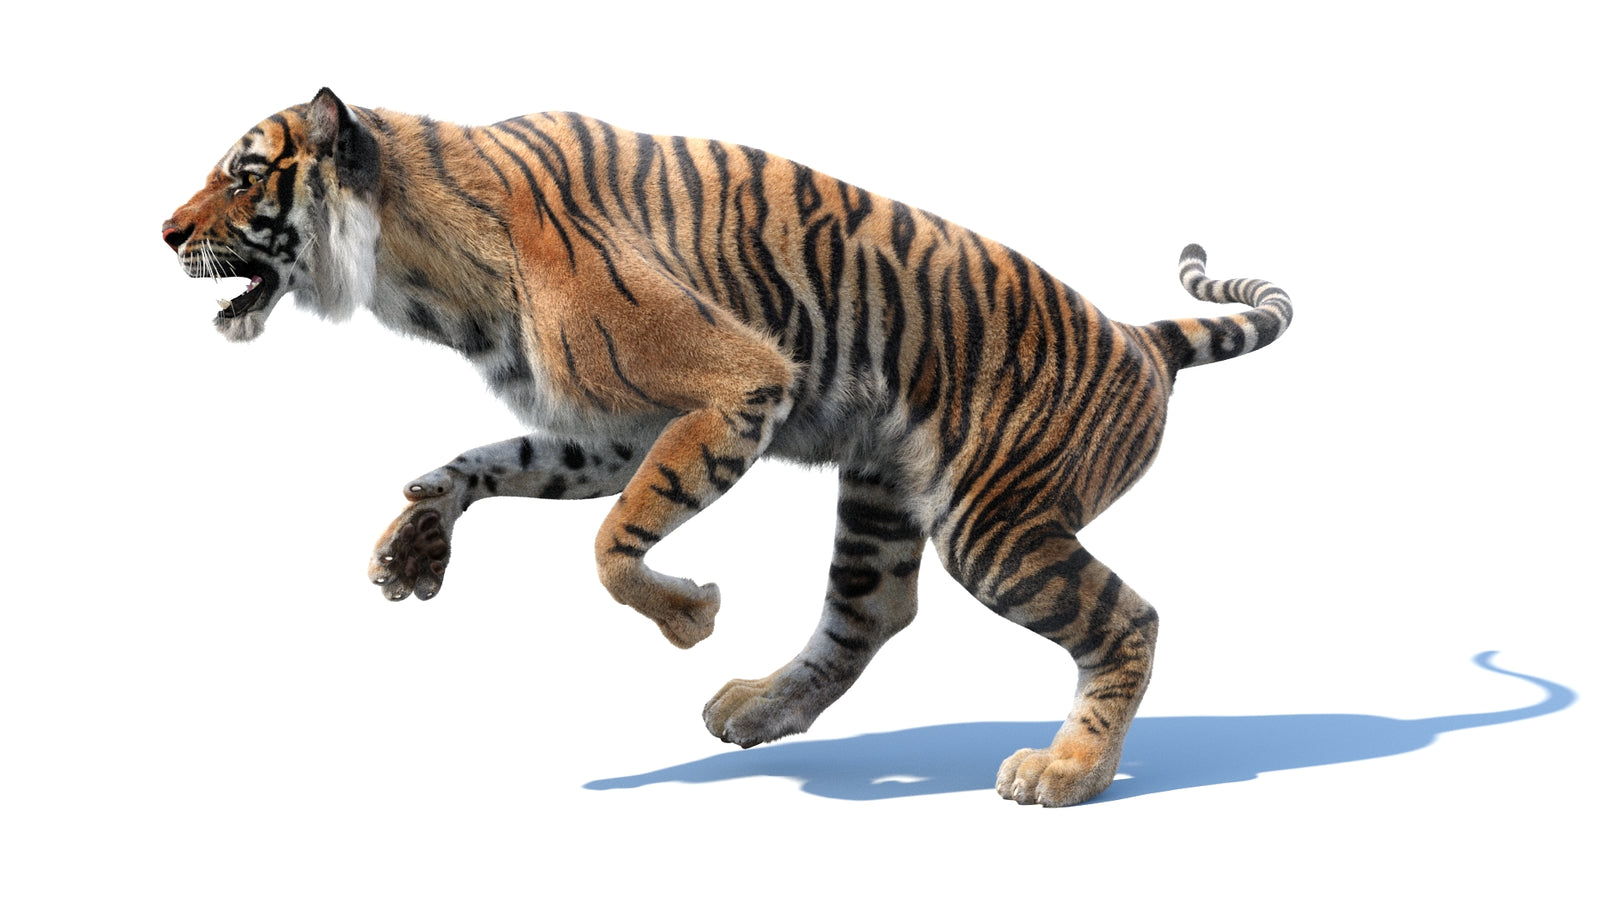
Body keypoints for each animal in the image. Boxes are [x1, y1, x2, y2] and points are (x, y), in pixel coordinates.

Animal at [163, 88, 1292, 807]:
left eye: (244, 177)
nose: (165, 233)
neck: (415, 270)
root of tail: (1137, 337)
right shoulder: (608, 430)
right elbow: (495, 462)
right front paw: (413, 543)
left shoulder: (734, 386)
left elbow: (612, 546)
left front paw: (690, 617)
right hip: (882, 497)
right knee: (869, 613)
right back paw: (757, 710)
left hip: (994, 523)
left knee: (1128, 617)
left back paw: (1069, 772)